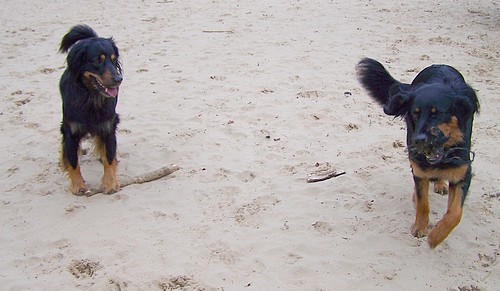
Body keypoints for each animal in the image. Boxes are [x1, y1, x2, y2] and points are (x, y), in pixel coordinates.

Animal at [58, 24, 124, 194]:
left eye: (114, 60)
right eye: (97, 61)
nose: (118, 79)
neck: (91, 98)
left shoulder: (108, 126)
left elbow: (109, 157)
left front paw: (110, 183)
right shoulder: (70, 130)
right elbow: (73, 161)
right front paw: (78, 185)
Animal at [358, 57, 478, 249]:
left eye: (436, 113)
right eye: (415, 114)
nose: (419, 140)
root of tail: (439, 65)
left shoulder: (462, 174)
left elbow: (455, 213)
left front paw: (436, 236)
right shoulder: (420, 170)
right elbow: (423, 203)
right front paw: (421, 227)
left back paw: (440, 184)